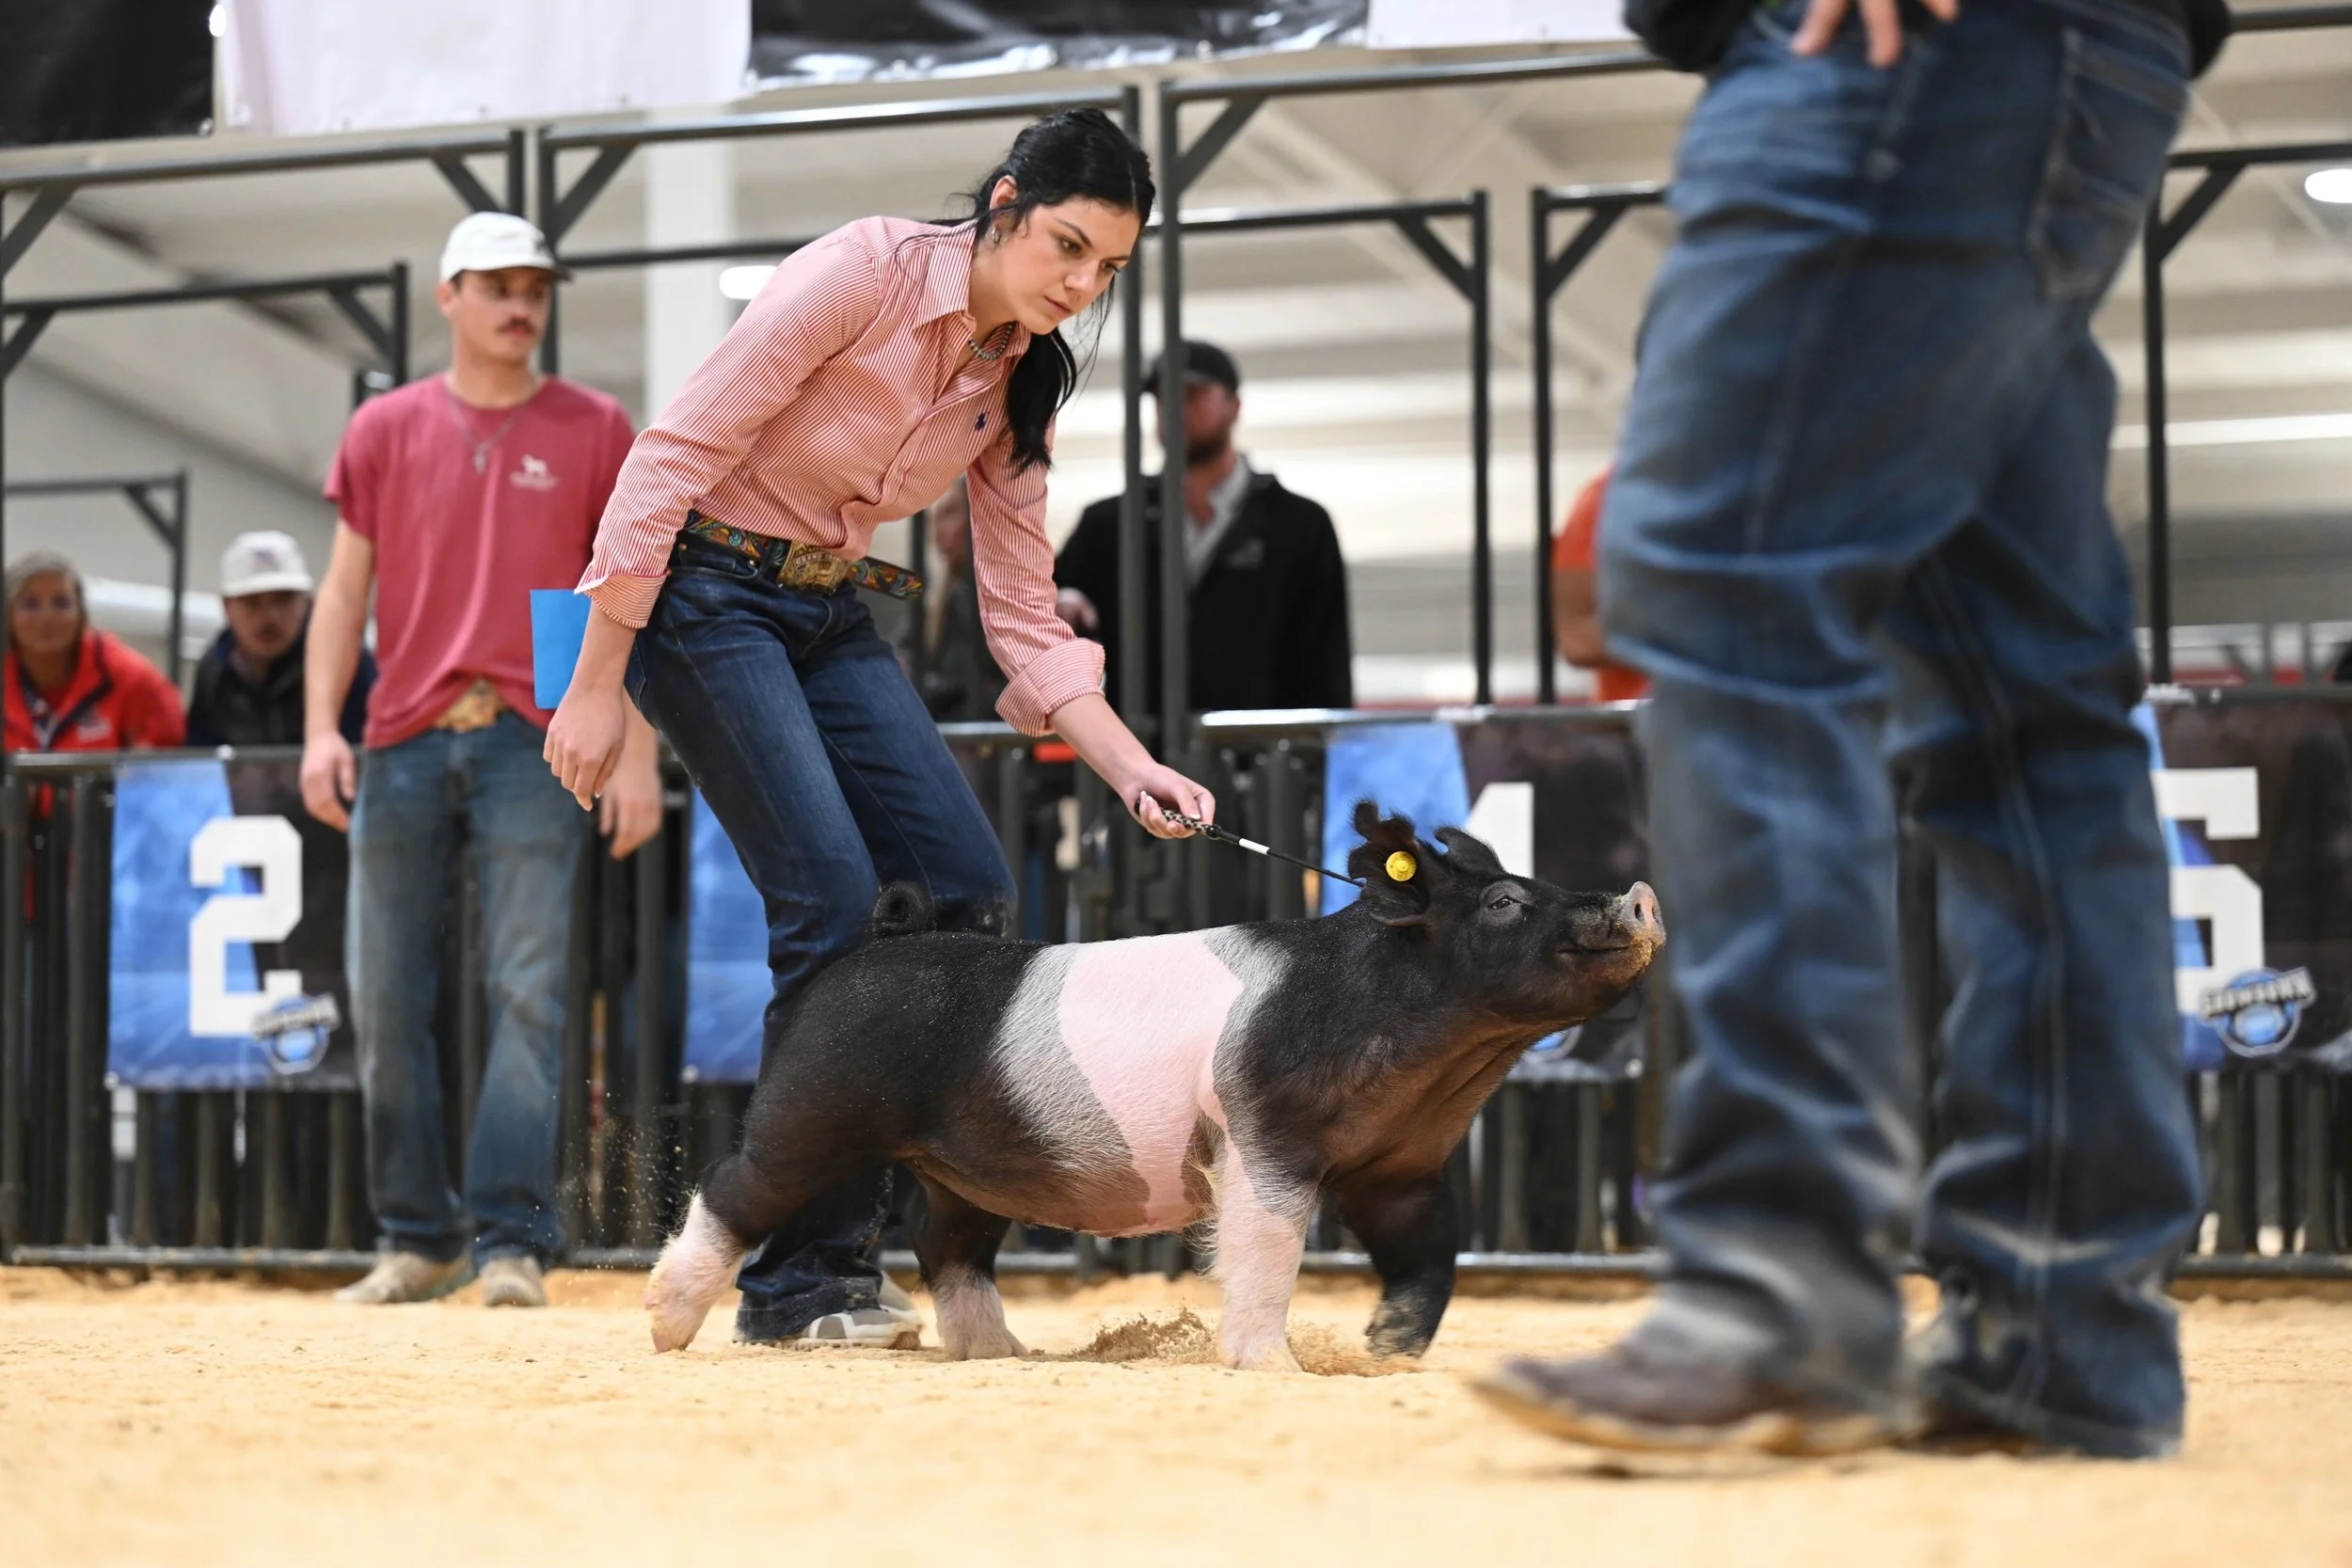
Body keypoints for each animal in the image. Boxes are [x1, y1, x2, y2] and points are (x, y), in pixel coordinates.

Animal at [646, 801, 1664, 1370]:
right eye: (1503, 903)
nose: (1639, 894)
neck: (1442, 1063)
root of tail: (875, 944)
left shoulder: (1401, 1165)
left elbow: (1430, 1256)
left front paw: (1386, 1352)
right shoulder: (1265, 1134)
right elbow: (1264, 1249)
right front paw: (1277, 1366)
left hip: (964, 1167)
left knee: (946, 1242)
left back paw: (1009, 1354)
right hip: (817, 1104)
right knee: (735, 1185)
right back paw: (663, 1328)